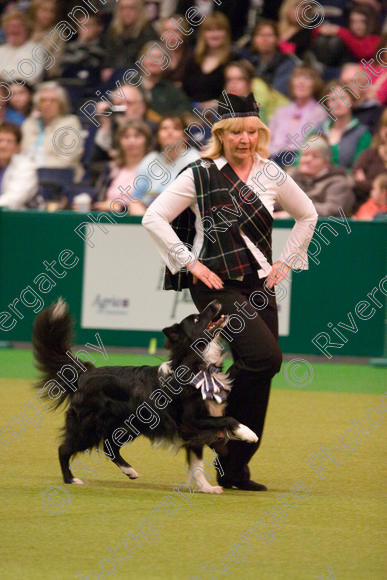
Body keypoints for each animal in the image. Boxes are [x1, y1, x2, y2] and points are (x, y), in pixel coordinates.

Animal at [33, 300, 258, 494]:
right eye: (196, 319)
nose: (215, 302)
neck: (197, 365)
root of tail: (85, 373)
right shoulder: (190, 421)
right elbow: (228, 419)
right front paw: (248, 433)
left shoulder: (194, 430)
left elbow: (197, 463)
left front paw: (206, 488)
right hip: (89, 424)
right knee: (64, 448)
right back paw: (71, 479)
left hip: (127, 424)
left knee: (109, 446)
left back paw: (130, 471)